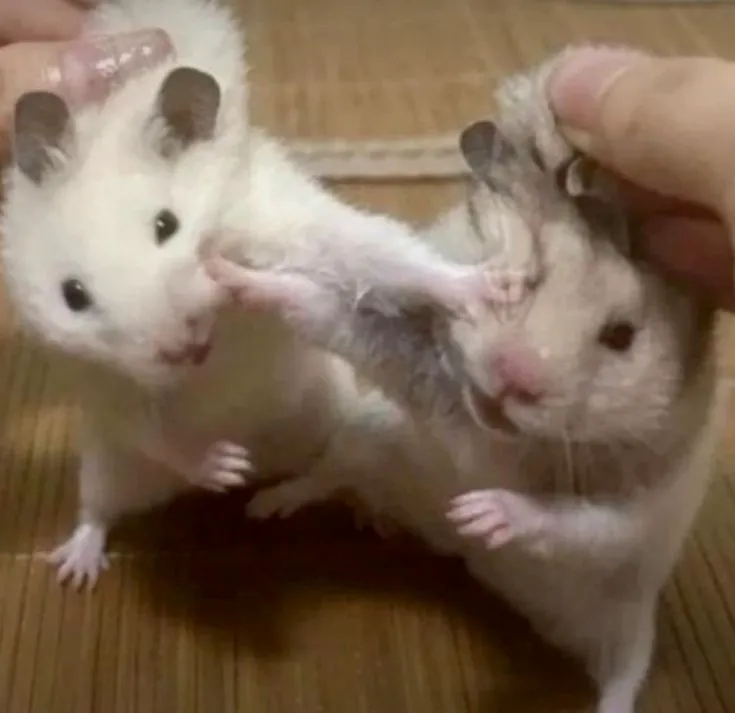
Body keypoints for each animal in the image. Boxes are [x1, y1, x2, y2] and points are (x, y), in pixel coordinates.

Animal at [0, 0, 467, 588]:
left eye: (167, 224)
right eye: (74, 296)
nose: (182, 349)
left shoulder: (286, 220)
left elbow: (375, 253)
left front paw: (481, 287)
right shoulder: (102, 382)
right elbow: (154, 428)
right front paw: (223, 464)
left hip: (331, 418)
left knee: (333, 476)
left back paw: (303, 502)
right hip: (108, 465)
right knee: (99, 510)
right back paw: (79, 568)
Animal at [203, 49, 724, 713]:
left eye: (621, 336)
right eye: (528, 277)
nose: (512, 381)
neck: (496, 436)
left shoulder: (632, 511)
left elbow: (568, 522)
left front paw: (478, 513)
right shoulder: (416, 370)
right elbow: (321, 309)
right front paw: (226, 274)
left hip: (626, 625)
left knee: (623, 674)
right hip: (368, 436)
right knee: (328, 477)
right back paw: (272, 506)